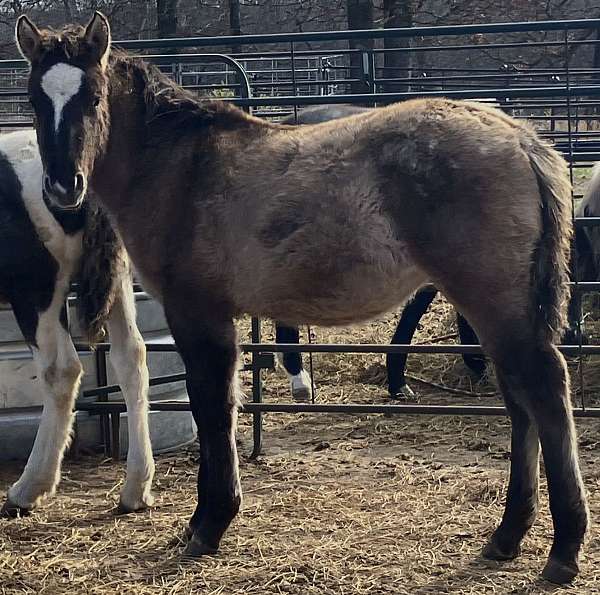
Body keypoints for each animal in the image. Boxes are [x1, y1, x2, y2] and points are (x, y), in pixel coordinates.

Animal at [0, 129, 155, 516]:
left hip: (38, 291)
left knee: (62, 371)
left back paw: (28, 488)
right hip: (117, 277)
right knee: (132, 357)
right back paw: (135, 488)